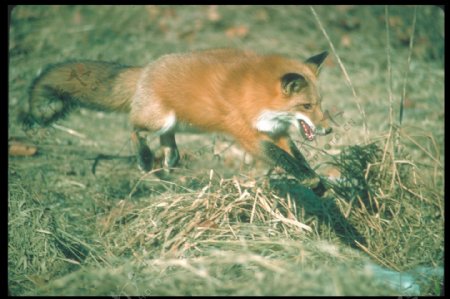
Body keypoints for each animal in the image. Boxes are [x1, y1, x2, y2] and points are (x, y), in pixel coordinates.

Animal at [20, 48, 330, 185]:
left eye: (320, 104)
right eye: (306, 106)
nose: (327, 131)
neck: (257, 95)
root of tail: (146, 68)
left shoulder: (277, 132)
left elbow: (295, 157)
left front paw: (313, 179)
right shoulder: (247, 134)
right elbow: (281, 158)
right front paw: (309, 180)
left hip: (173, 121)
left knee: (165, 139)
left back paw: (170, 157)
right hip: (158, 119)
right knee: (133, 128)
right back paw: (145, 159)